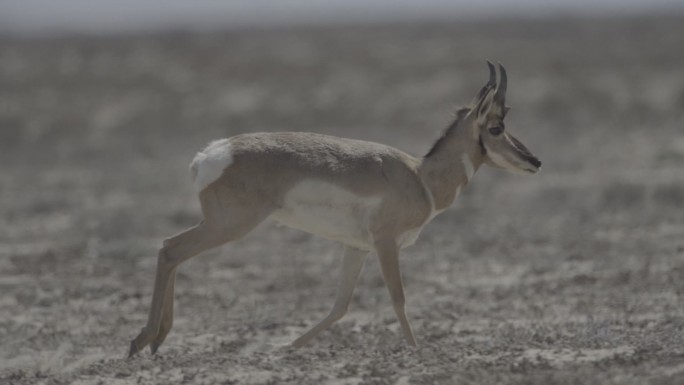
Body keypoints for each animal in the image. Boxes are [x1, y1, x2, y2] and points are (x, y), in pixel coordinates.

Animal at [130, 61, 540, 356]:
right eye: (497, 127)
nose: (535, 162)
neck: (419, 175)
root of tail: (212, 153)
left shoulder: (356, 248)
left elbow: (340, 305)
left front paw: (288, 347)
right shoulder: (386, 244)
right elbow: (398, 298)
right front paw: (415, 349)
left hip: (221, 225)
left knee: (172, 251)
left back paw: (155, 340)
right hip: (228, 226)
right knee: (170, 249)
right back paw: (144, 340)